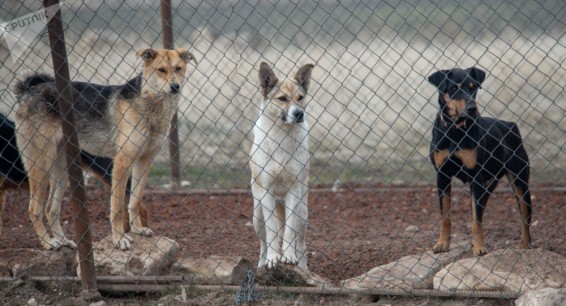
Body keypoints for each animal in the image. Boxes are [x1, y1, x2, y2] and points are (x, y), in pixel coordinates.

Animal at [252, 62, 318, 270]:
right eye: (282, 99)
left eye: (300, 98)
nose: (299, 113)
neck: (283, 135)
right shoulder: (266, 192)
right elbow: (272, 232)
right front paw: (274, 258)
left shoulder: (294, 191)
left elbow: (289, 231)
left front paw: (288, 256)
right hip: (257, 215)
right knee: (263, 242)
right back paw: (262, 264)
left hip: (303, 213)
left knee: (301, 243)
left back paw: (302, 268)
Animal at [428, 67, 536, 256]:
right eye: (454, 88)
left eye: (474, 88)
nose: (472, 108)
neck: (455, 130)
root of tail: (511, 126)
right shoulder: (442, 176)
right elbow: (446, 216)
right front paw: (441, 244)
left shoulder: (475, 177)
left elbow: (476, 221)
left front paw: (479, 248)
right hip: (486, 186)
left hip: (519, 183)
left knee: (524, 217)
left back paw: (523, 246)